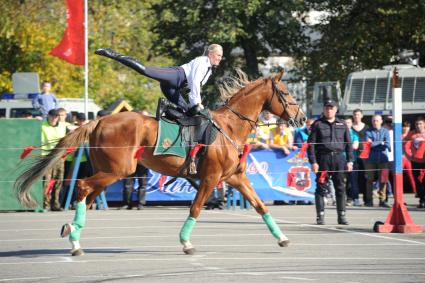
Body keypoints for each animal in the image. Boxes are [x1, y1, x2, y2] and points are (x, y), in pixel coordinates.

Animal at [14, 71, 304, 258]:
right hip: (118, 171)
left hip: (108, 172)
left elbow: (260, 206)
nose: (301, 118)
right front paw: (185, 242)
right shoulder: (210, 179)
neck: (229, 128)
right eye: (286, 92)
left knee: (87, 195)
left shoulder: (236, 178)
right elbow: (196, 209)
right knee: (83, 187)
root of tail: (99, 120)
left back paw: (73, 231)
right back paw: (74, 241)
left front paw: (282, 238)